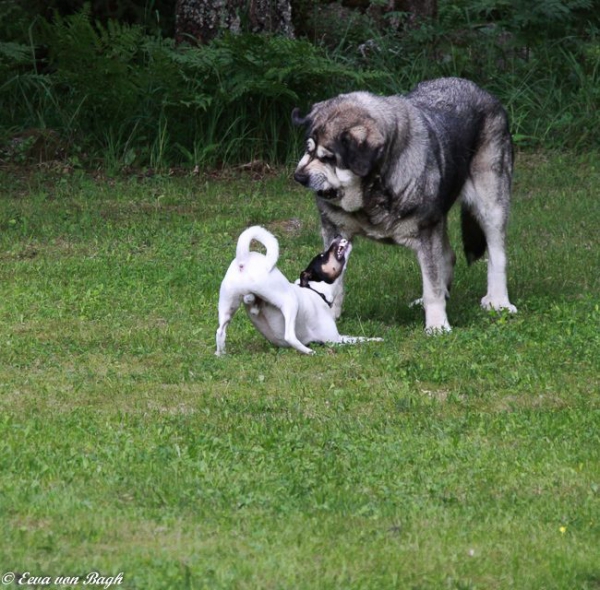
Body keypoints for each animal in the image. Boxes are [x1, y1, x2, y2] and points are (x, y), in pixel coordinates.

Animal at [216, 227, 380, 356]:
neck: (316, 290)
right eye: (322, 256)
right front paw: (377, 339)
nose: (337, 236)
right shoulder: (334, 339)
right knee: (289, 336)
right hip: (289, 302)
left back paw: (221, 355)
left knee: (220, 331)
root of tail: (243, 261)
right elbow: (359, 339)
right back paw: (309, 351)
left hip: (228, 304)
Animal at [292, 77, 516, 332]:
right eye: (308, 149)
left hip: (491, 205)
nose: (299, 176)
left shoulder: (427, 231)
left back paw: (498, 301)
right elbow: (333, 281)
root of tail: (483, 92)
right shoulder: (334, 232)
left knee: (496, 255)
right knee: (448, 256)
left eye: (328, 158)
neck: (373, 192)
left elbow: (432, 284)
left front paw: (437, 325)